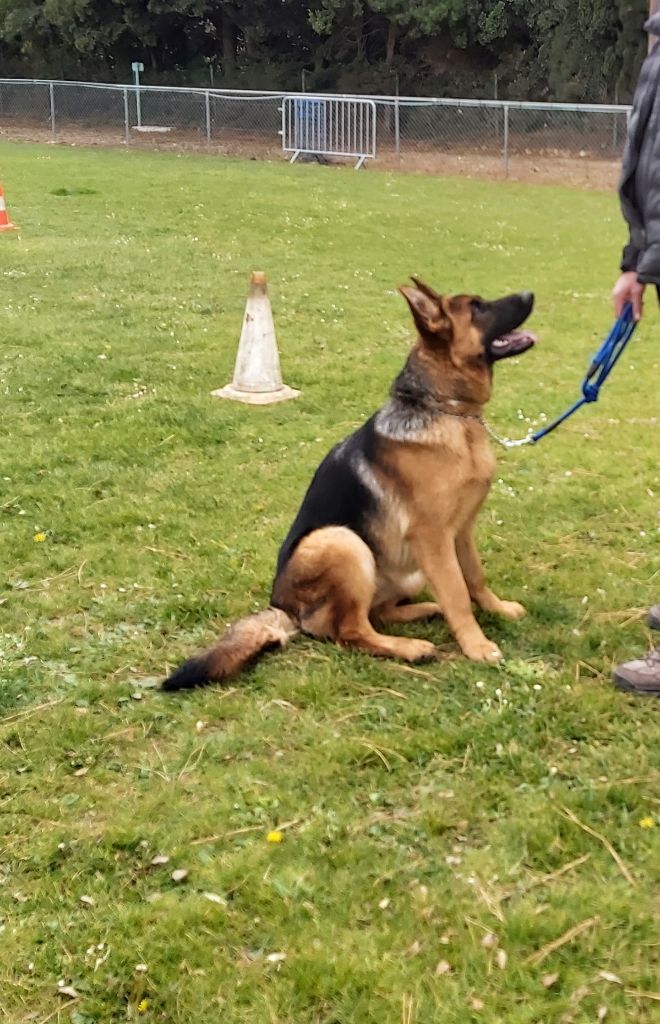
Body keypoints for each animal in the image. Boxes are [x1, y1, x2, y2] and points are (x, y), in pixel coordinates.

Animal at [161, 282, 532, 696]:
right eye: (478, 307)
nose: (530, 294)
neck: (446, 411)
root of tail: (284, 609)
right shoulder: (434, 538)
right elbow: (457, 594)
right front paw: (476, 645)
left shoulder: (461, 532)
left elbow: (474, 579)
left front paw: (497, 610)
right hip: (342, 541)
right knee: (351, 631)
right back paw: (410, 648)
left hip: (406, 569)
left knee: (378, 612)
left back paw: (421, 611)